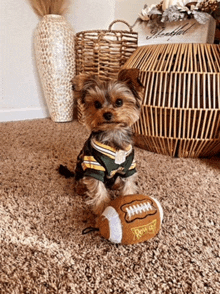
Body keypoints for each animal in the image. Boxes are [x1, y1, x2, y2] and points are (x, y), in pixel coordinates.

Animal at [61, 69, 143, 216]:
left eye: (119, 102)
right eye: (97, 104)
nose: (107, 114)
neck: (112, 134)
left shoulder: (129, 166)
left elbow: (128, 183)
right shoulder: (94, 166)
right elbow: (98, 189)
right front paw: (103, 209)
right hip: (80, 174)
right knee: (79, 183)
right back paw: (81, 188)